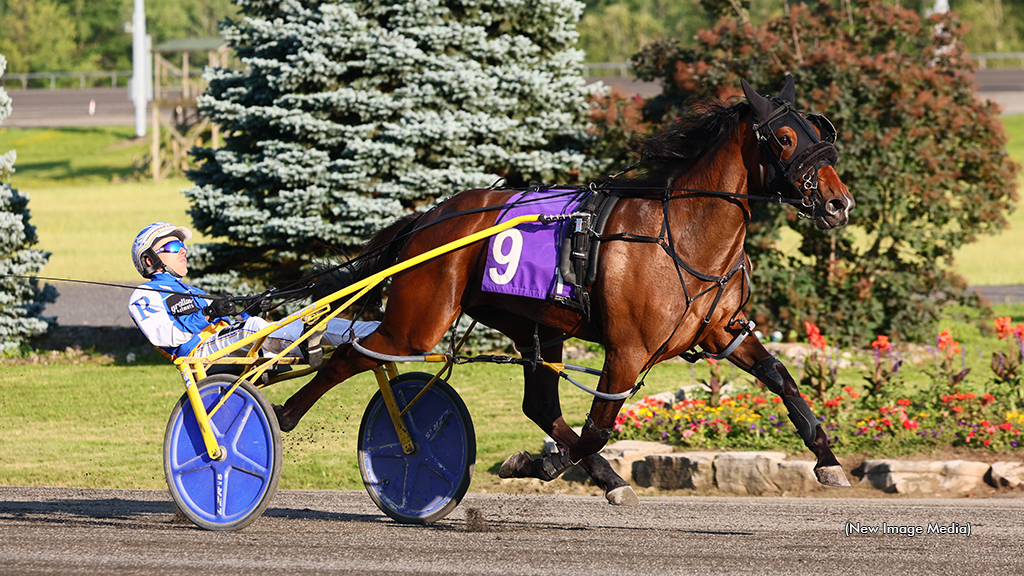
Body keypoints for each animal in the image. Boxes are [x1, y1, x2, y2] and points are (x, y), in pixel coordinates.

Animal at [274, 73, 856, 500]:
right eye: (784, 138)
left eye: (818, 133)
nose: (838, 202)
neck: (682, 235)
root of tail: (428, 219)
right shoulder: (627, 350)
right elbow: (598, 428)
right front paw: (544, 464)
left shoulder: (723, 333)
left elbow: (781, 378)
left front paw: (828, 460)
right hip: (419, 321)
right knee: (352, 354)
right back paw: (281, 414)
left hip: (533, 327)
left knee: (537, 405)